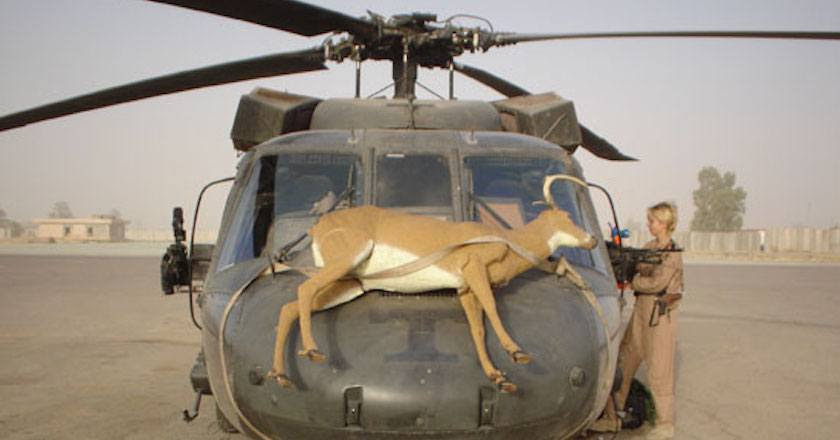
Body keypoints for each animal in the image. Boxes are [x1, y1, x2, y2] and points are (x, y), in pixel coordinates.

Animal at [267, 174, 598, 392]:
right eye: (566, 216)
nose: (593, 239)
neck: (507, 240)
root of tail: (318, 226)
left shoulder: (465, 289)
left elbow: (477, 329)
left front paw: (498, 377)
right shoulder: (475, 269)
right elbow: (493, 309)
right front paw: (517, 353)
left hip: (349, 285)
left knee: (289, 307)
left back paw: (280, 375)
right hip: (344, 263)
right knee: (303, 289)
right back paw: (312, 351)